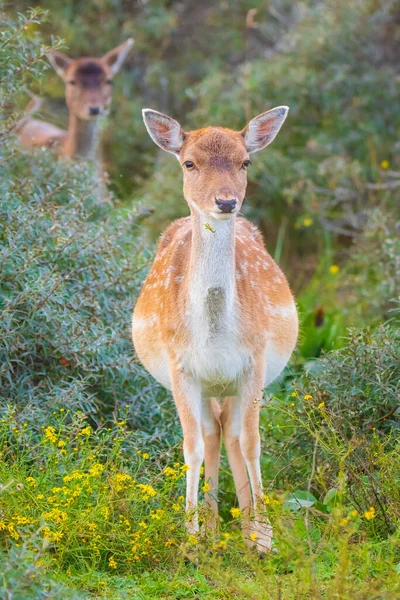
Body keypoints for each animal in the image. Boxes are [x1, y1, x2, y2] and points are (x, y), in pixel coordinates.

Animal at [133, 105, 298, 552]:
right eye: (189, 163)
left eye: (245, 162)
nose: (226, 201)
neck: (215, 333)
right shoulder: (180, 367)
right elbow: (190, 447)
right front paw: (190, 540)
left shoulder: (255, 362)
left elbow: (253, 444)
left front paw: (264, 537)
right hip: (206, 386)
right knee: (212, 434)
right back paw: (212, 529)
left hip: (231, 384)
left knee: (231, 435)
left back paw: (244, 528)